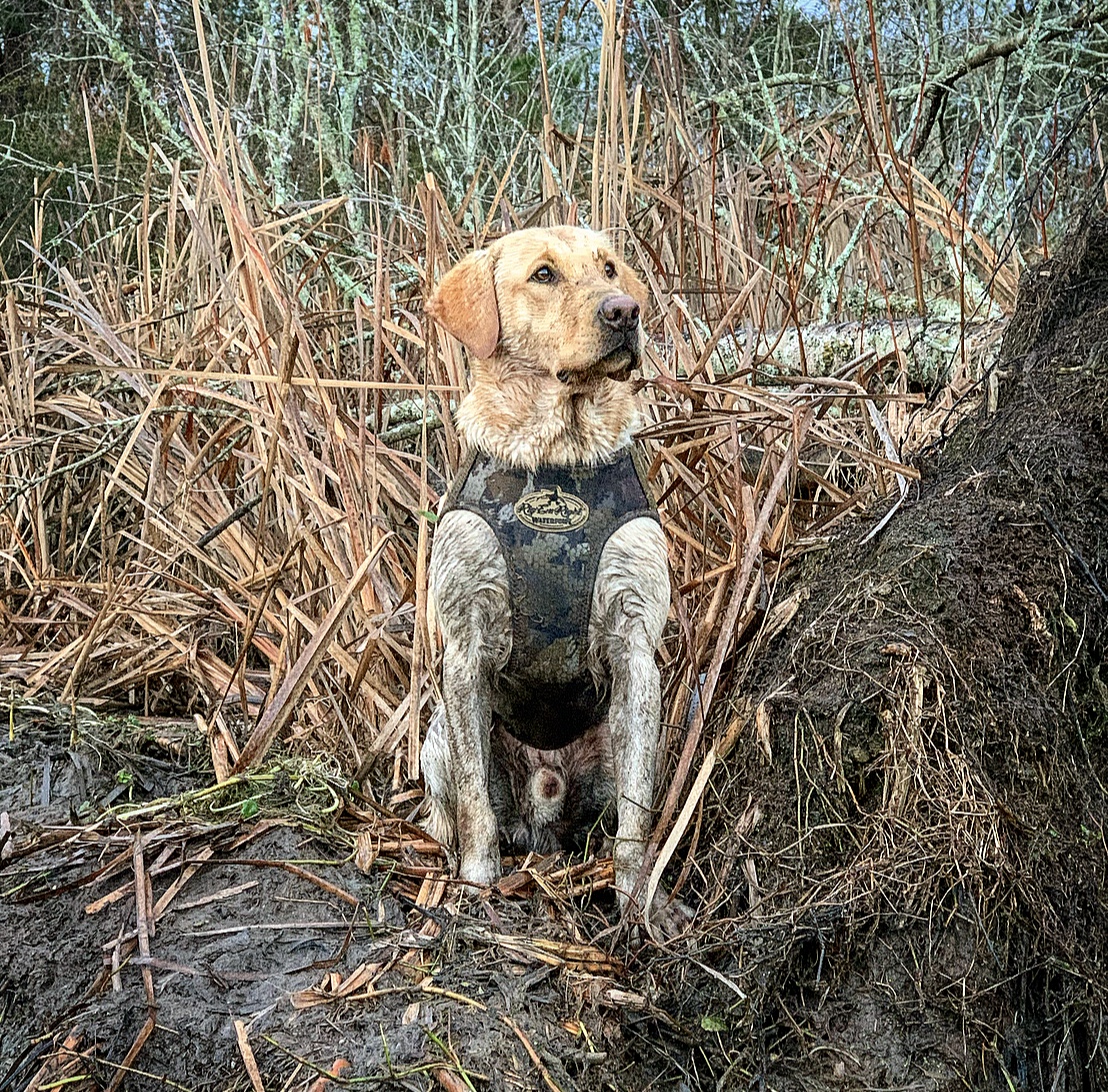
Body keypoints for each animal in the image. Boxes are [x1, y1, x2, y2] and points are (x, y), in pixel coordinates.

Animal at [421, 225, 686, 930]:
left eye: (610, 268)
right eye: (544, 274)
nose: (625, 312)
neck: (558, 458)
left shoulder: (636, 650)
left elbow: (638, 814)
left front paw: (639, 900)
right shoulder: (464, 647)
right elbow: (475, 803)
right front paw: (477, 884)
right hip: (437, 733)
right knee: (453, 806)